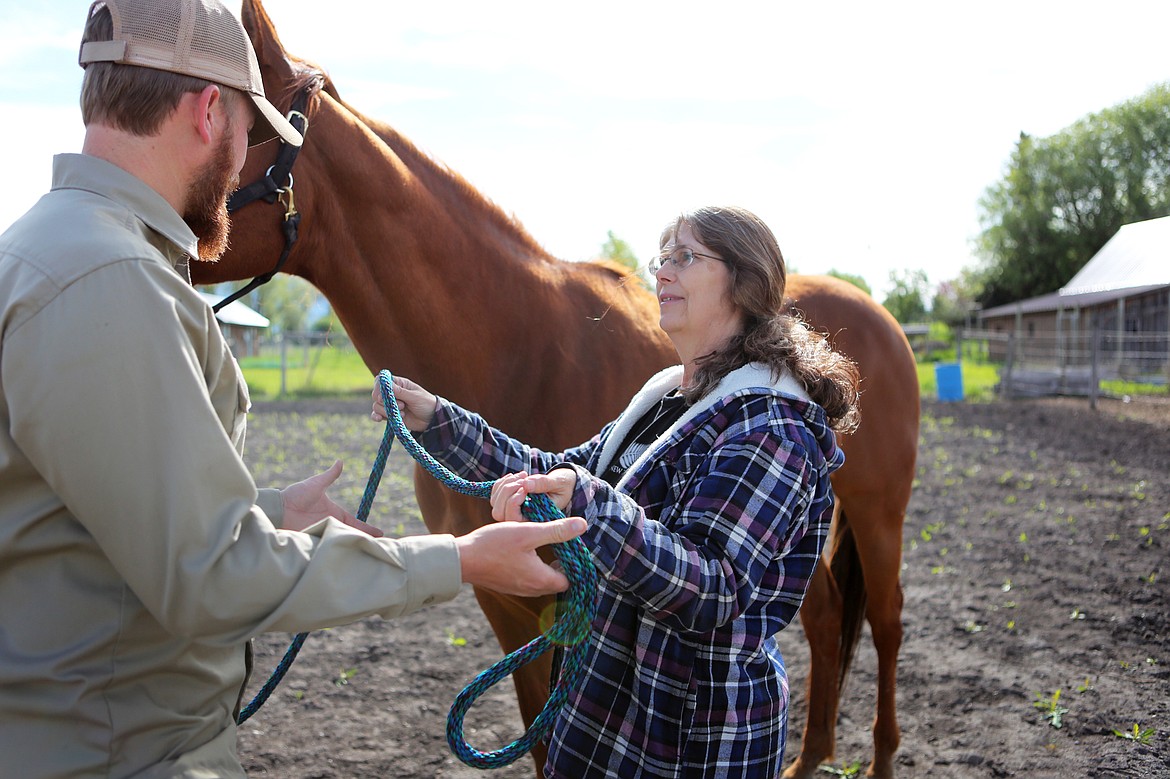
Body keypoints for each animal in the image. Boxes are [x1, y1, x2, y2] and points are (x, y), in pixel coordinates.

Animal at [196, 3, 917, 771]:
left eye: (232, 125)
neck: (513, 346)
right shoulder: (509, 602)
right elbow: (540, 734)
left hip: (880, 509)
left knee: (886, 619)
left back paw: (880, 755)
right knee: (824, 614)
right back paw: (807, 758)